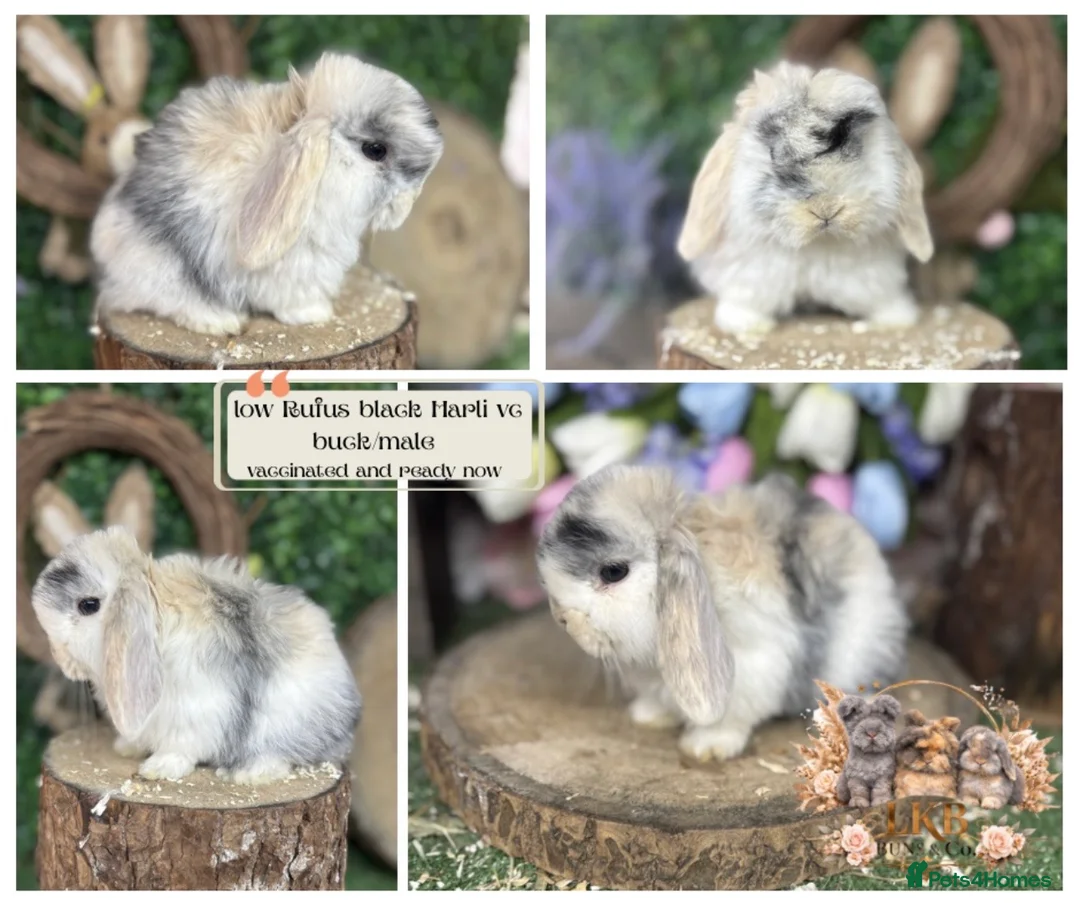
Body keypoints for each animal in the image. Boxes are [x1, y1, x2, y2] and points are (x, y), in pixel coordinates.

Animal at [30, 526, 362, 785]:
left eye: (88, 605)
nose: (61, 660)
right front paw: (126, 747)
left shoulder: (196, 711)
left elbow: (181, 747)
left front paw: (158, 768)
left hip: (281, 725)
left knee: (281, 757)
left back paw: (246, 775)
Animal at [91, 52, 443, 335]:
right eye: (375, 150)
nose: (406, 205)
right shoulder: (298, 262)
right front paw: (315, 314)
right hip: (161, 262)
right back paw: (219, 322)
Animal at [535, 464, 908, 762]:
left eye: (613, 572)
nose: (563, 618)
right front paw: (648, 716)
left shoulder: (753, 664)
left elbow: (729, 718)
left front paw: (705, 748)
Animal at [677, 61, 933, 335]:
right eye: (772, 153)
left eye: (856, 148)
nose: (826, 209)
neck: (817, 244)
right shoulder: (750, 274)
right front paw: (748, 325)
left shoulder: (873, 274)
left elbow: (880, 297)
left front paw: (897, 320)